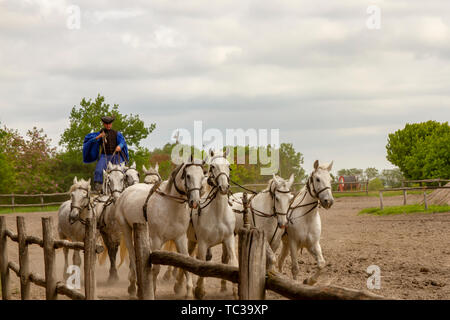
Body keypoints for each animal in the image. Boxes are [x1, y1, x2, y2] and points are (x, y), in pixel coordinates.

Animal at [116, 156, 207, 298]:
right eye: (188, 175)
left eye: (203, 176)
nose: (195, 202)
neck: (170, 205)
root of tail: (125, 193)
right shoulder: (156, 239)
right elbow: (155, 268)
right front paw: (152, 290)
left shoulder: (180, 238)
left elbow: (186, 261)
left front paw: (188, 292)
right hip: (126, 229)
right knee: (132, 254)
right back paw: (135, 286)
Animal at [185, 150, 239, 300]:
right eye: (213, 167)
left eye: (229, 167)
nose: (224, 187)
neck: (218, 214)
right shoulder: (203, 243)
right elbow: (201, 265)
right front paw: (199, 291)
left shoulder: (229, 239)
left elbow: (233, 262)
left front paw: (236, 291)